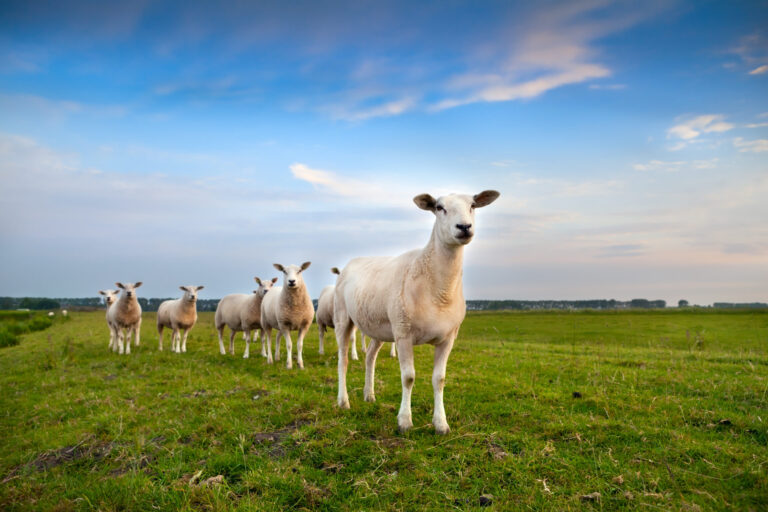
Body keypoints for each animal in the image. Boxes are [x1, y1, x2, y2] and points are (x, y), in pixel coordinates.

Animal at [332, 190, 500, 434]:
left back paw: (369, 395)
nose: (464, 226)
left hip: (379, 326)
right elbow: (408, 377)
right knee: (343, 360)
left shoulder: (448, 338)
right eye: (439, 207)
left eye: (473, 205)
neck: (439, 291)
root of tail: (353, 262)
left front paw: (441, 423)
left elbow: (439, 379)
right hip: (343, 318)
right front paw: (404, 421)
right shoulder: (403, 334)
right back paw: (343, 401)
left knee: (370, 356)